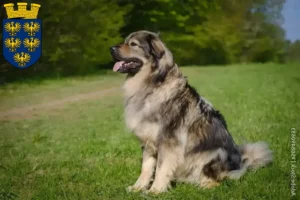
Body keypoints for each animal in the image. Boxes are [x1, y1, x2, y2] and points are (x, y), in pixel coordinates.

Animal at [109, 30, 274, 194]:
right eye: (125, 41)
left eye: (133, 44)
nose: (111, 48)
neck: (153, 84)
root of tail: (241, 163)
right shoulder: (148, 142)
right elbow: (146, 168)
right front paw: (138, 187)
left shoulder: (169, 142)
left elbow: (162, 168)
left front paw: (155, 191)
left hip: (216, 153)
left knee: (219, 180)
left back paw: (204, 185)